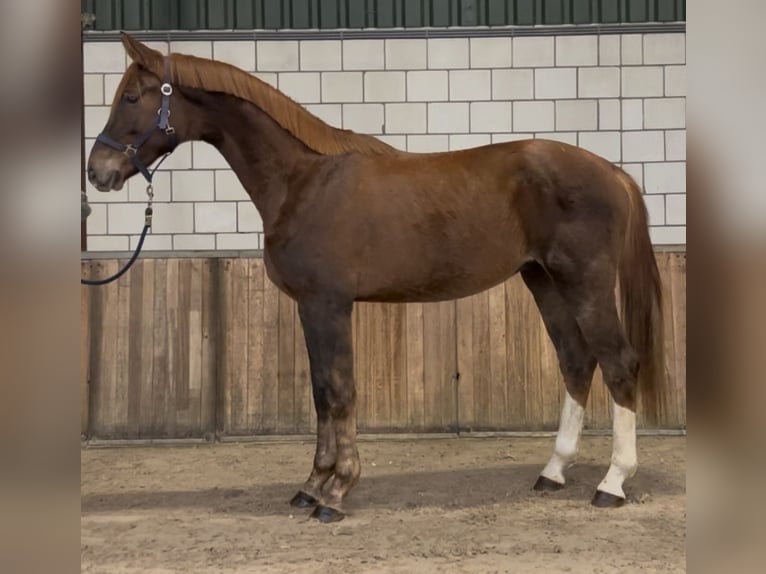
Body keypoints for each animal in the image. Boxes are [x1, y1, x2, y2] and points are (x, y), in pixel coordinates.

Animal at [88, 33, 664, 524]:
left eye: (133, 96)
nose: (98, 172)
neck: (304, 181)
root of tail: (613, 171)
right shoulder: (310, 307)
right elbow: (322, 391)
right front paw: (311, 486)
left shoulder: (329, 304)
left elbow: (340, 392)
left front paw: (336, 493)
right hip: (543, 279)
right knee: (575, 360)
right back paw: (554, 472)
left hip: (585, 281)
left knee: (618, 363)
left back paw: (612, 483)